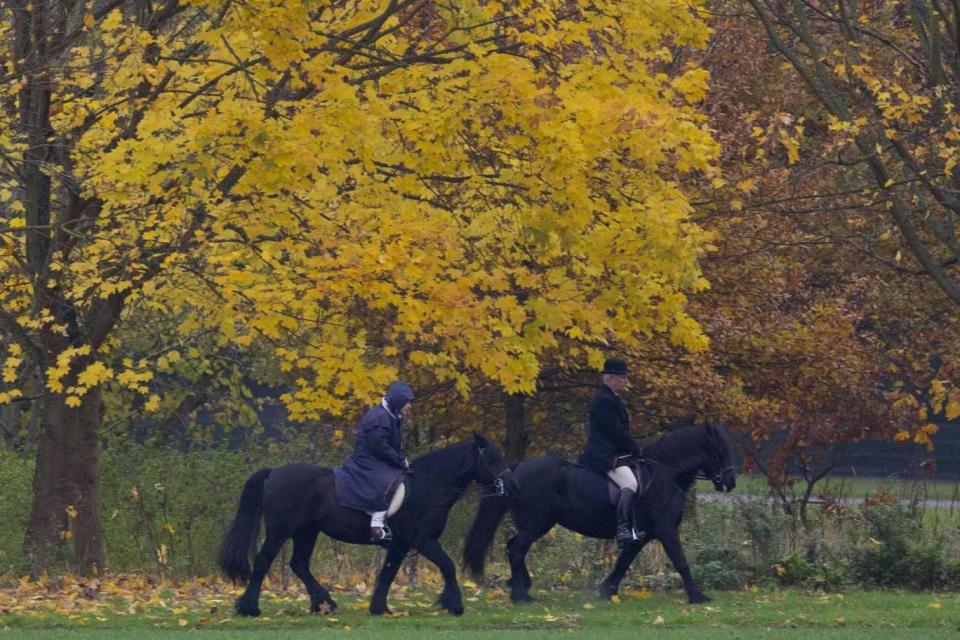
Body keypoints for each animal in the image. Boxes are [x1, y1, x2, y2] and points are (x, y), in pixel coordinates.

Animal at [220, 432, 512, 616]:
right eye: (493, 458)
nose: (509, 486)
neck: (427, 486)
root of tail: (274, 472)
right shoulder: (421, 541)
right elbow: (446, 566)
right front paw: (454, 605)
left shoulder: (402, 545)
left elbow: (389, 573)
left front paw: (380, 607)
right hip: (279, 532)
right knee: (263, 562)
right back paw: (249, 608)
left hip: (307, 532)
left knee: (299, 564)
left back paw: (324, 604)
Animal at [464, 424, 736, 604]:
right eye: (720, 451)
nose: (731, 483)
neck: (665, 476)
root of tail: (515, 471)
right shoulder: (666, 530)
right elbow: (680, 560)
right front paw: (698, 596)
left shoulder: (643, 534)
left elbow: (624, 560)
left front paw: (606, 590)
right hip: (536, 524)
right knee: (516, 549)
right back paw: (521, 595)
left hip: (534, 524)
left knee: (513, 546)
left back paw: (521, 587)